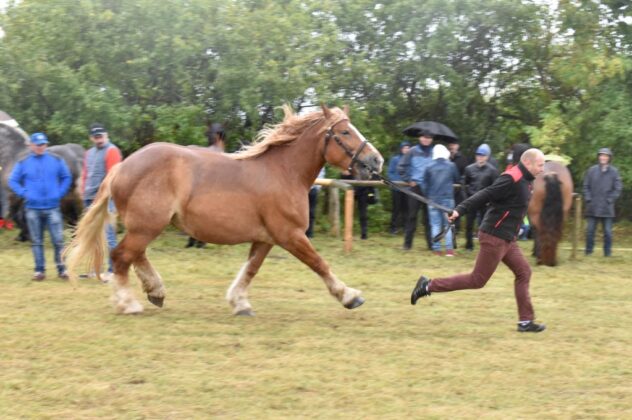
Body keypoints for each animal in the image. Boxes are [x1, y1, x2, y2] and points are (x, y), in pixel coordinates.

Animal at [64, 105, 384, 315]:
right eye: (345, 131)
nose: (376, 160)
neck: (284, 173)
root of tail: (121, 167)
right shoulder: (290, 234)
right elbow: (320, 264)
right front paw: (350, 296)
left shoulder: (266, 238)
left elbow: (250, 269)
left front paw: (239, 303)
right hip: (147, 225)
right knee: (122, 256)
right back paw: (128, 303)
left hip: (146, 225)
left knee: (135, 256)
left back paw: (156, 291)